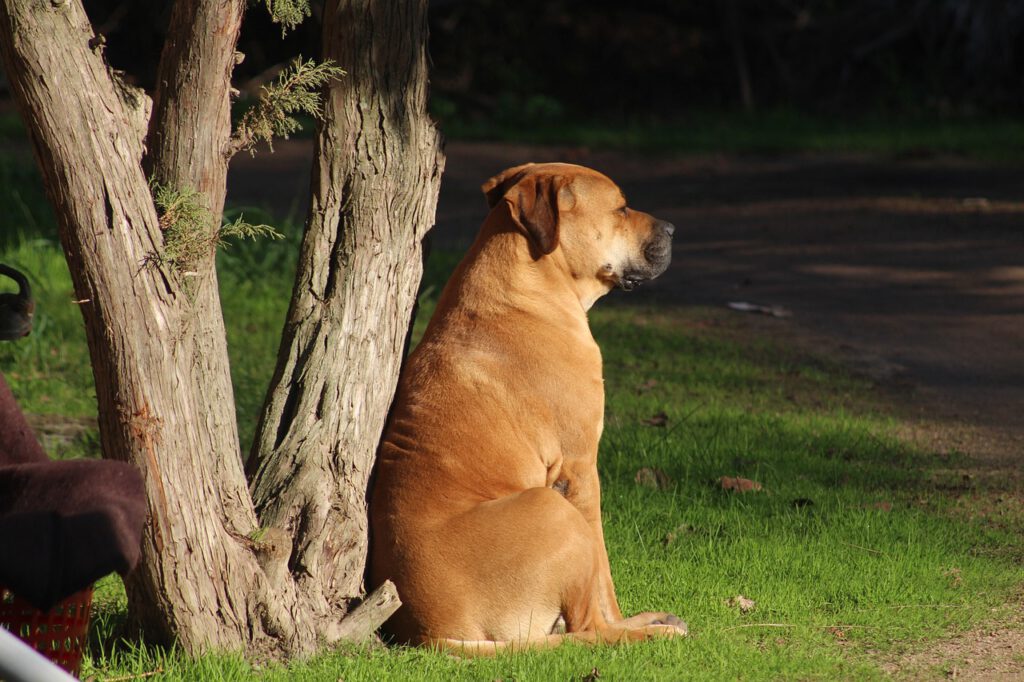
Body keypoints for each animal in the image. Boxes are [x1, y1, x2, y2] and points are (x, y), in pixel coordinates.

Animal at [370, 160, 688, 655]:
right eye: (620, 208)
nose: (673, 229)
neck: (528, 283)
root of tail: (431, 634)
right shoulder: (581, 469)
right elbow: (604, 572)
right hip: (553, 510)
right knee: (590, 629)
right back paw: (648, 632)